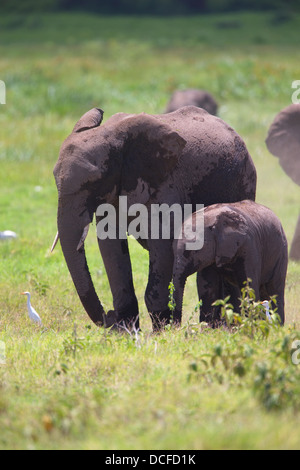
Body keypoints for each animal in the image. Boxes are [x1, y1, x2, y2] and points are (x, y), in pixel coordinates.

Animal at [52, 106, 256, 330]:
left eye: (94, 181)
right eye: (54, 178)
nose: (109, 316)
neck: (112, 134)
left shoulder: (165, 183)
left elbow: (163, 243)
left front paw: (162, 331)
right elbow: (109, 244)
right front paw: (127, 332)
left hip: (243, 181)